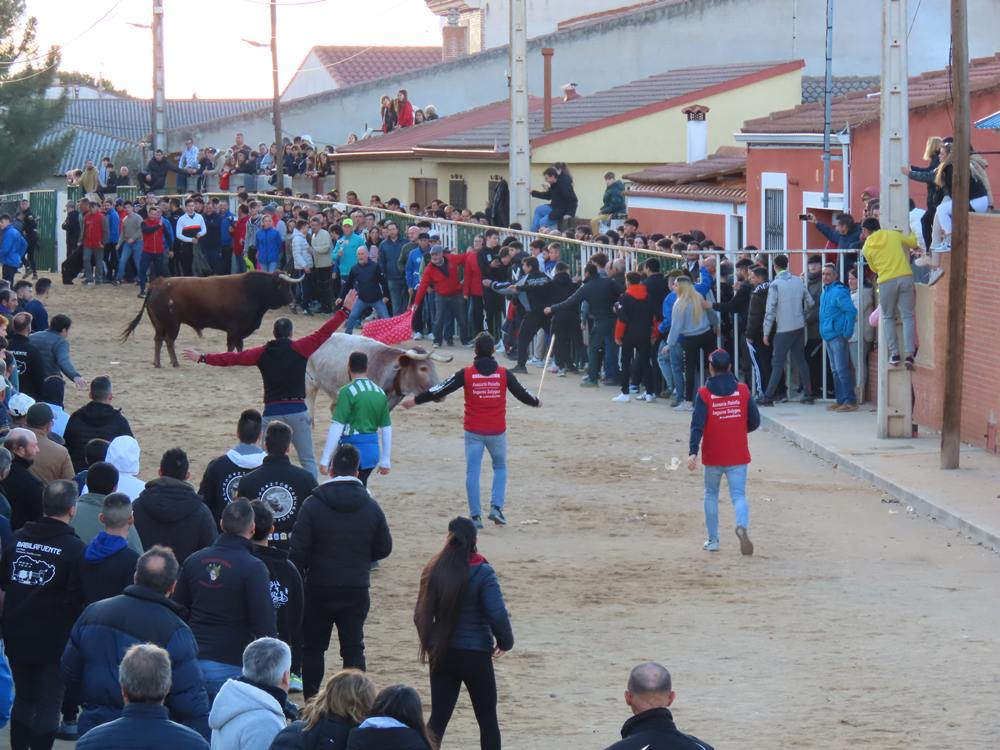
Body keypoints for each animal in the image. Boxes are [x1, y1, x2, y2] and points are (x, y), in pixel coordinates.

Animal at [120, 274, 302, 372]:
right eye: (283, 286)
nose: (292, 300)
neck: (253, 290)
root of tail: (157, 283)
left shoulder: (240, 330)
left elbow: (240, 346)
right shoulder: (234, 328)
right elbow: (231, 345)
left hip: (159, 324)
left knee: (158, 340)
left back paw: (158, 363)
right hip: (173, 324)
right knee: (169, 341)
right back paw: (175, 363)